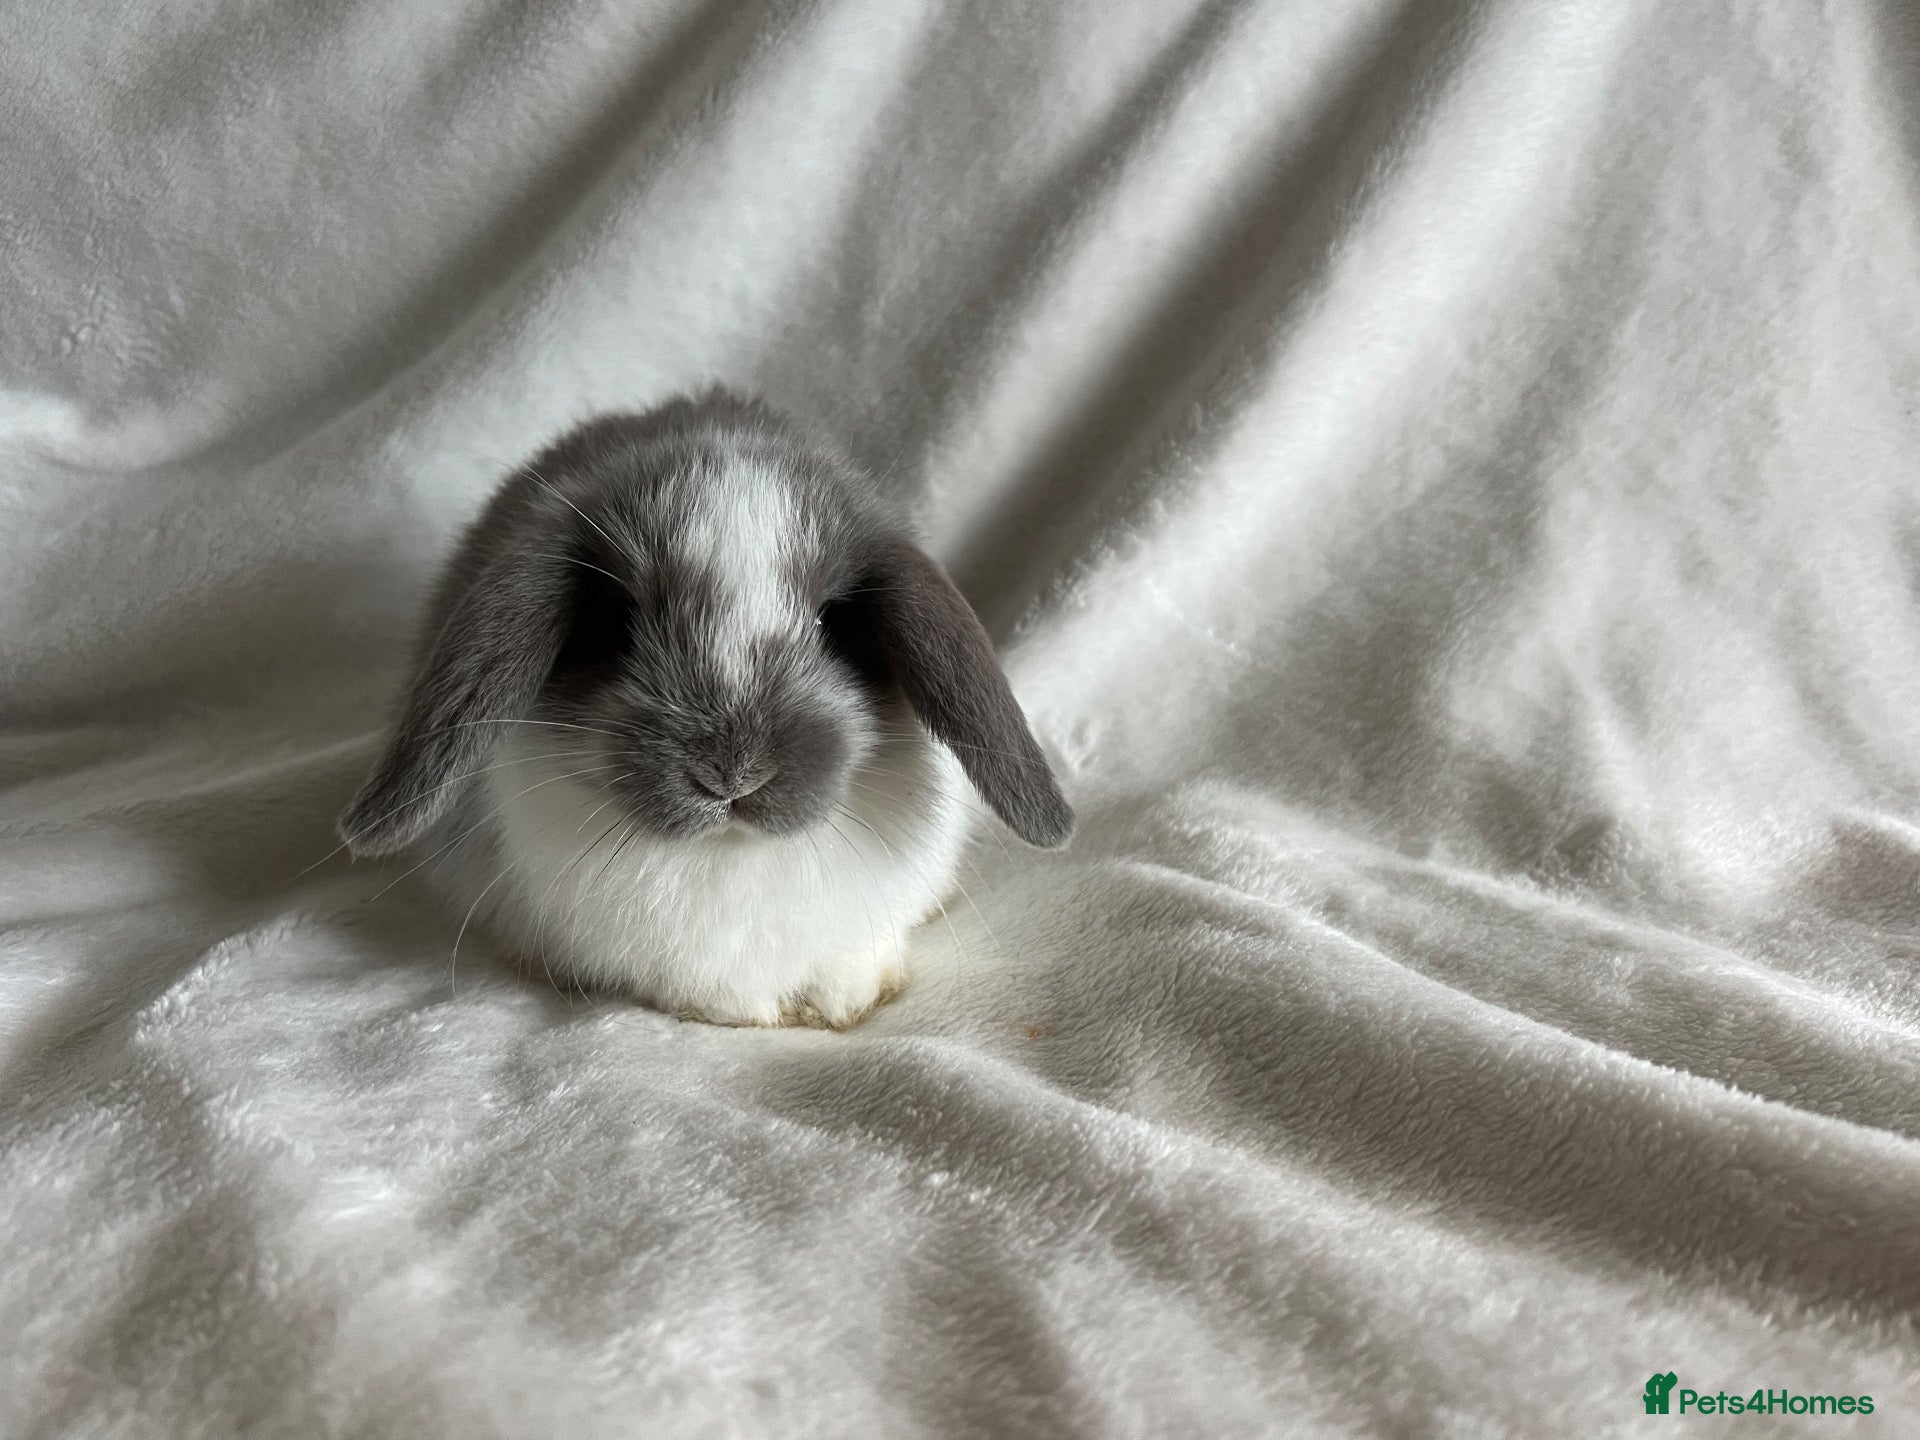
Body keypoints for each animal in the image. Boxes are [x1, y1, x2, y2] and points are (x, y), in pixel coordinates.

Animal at [337, 390, 1073, 1028]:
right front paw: (744, 1009)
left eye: (832, 622)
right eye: (615, 621)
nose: (732, 774)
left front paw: (846, 1000)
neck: (733, 855)